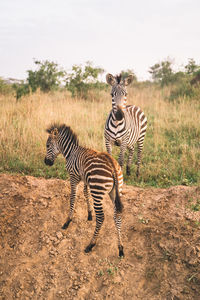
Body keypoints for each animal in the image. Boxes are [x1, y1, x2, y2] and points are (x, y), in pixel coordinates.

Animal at [44, 123, 124, 256]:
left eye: (48, 145)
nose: (46, 162)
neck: (71, 152)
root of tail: (112, 165)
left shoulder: (73, 177)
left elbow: (73, 197)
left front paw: (68, 220)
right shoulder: (85, 178)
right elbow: (85, 193)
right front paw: (89, 214)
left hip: (97, 191)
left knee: (101, 218)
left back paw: (91, 245)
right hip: (115, 192)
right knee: (117, 215)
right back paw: (121, 248)